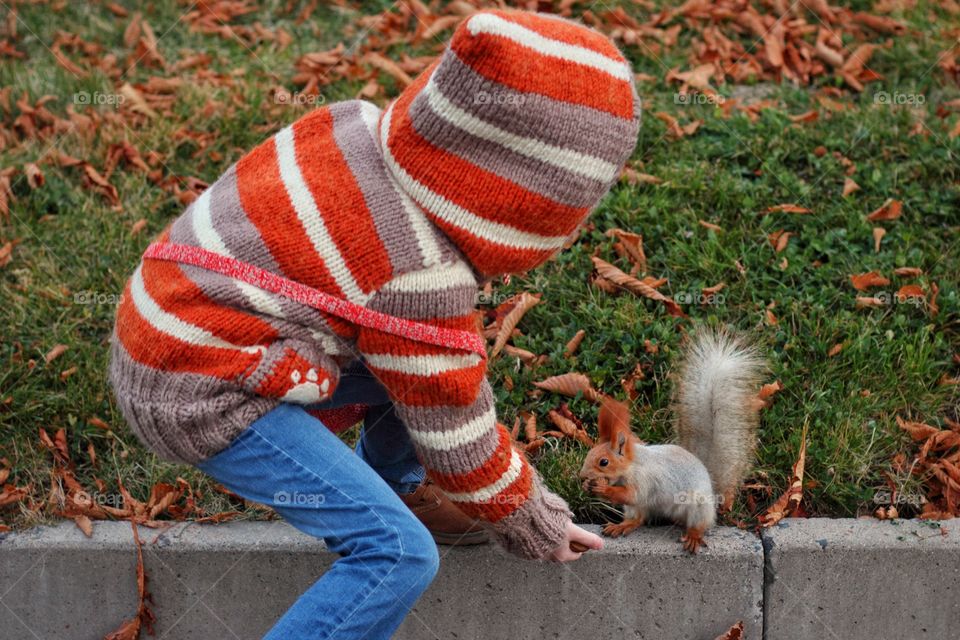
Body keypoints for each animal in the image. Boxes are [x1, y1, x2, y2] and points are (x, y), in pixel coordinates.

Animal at [578, 327, 765, 553]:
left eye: (604, 462)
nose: (581, 476)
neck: (632, 465)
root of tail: (712, 488)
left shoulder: (644, 480)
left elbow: (632, 494)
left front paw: (601, 488)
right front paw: (588, 486)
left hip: (698, 505)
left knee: (699, 524)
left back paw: (693, 536)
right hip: (639, 509)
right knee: (638, 518)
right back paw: (623, 525)